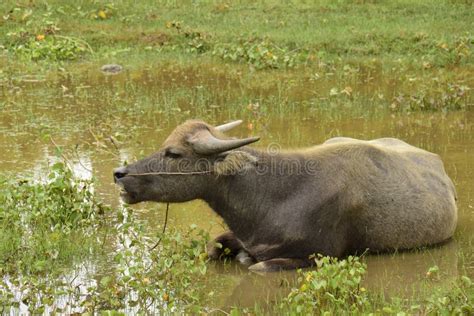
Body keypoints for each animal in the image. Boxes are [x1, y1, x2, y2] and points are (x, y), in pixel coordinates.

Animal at [113, 119, 458, 270]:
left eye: (173, 153)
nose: (119, 174)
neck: (273, 196)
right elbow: (214, 248)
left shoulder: (317, 256)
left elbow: (254, 265)